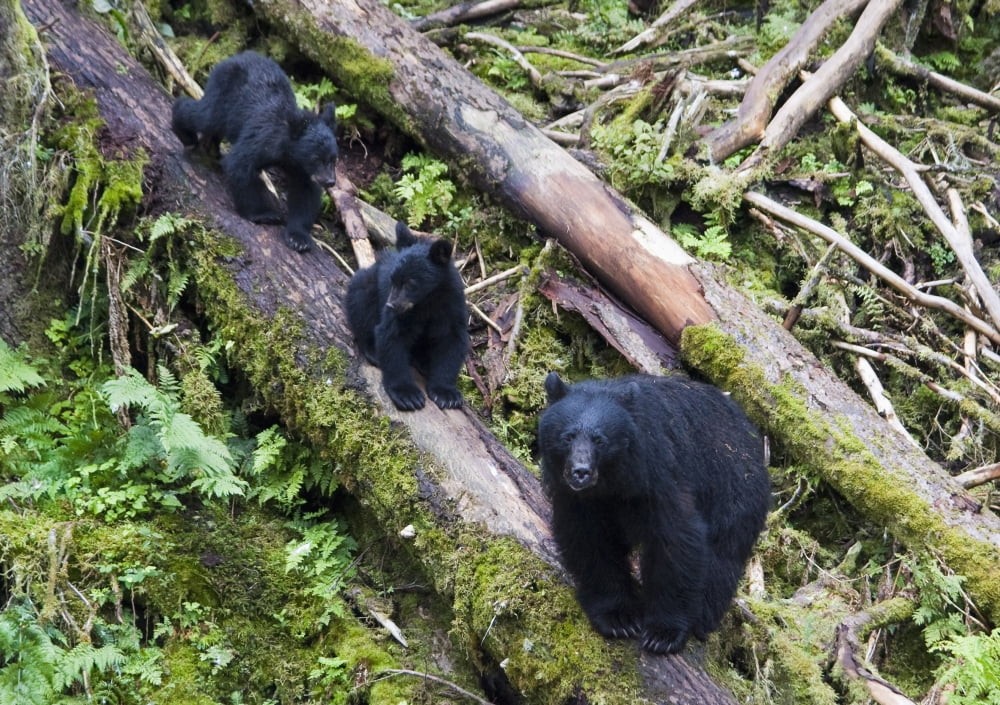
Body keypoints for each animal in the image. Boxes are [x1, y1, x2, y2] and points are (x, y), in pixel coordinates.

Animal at [171, 51, 339, 253]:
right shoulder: (261, 139)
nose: (330, 181)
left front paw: (298, 237)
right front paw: (262, 214)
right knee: (203, 115)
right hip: (222, 96)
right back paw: (186, 134)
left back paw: (211, 149)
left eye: (333, 159)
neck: (287, 151)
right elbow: (240, 165)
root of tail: (238, 56)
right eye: (316, 158)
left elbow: (305, 193)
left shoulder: (302, 169)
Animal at [345, 222, 469, 411]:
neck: (427, 302)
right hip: (366, 285)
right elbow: (391, 336)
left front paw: (446, 394)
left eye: (410, 283)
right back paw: (373, 351)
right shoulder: (401, 314)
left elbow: (452, 342)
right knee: (361, 309)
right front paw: (407, 394)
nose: (390, 305)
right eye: (392, 280)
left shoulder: (452, 307)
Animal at [537, 372, 770, 655]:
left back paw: (702, 618)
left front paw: (664, 631)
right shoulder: (577, 500)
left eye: (600, 440)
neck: (612, 483)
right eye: (568, 436)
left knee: (722, 557)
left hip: (733, 492)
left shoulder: (657, 475)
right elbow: (589, 542)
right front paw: (618, 617)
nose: (580, 472)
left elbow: (675, 539)